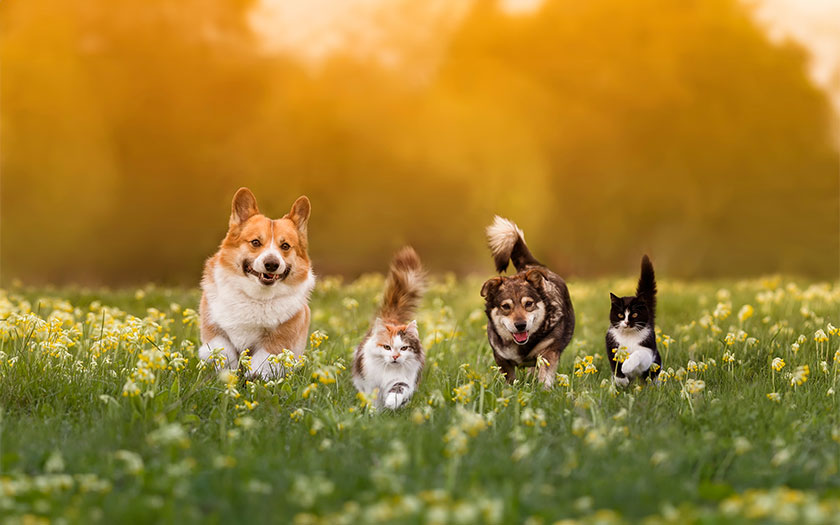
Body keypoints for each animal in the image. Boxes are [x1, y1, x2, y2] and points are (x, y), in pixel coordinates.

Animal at [199, 187, 316, 376]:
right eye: (255, 242)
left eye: (285, 246)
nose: (272, 264)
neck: (256, 297)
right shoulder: (213, 327)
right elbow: (224, 350)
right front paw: (227, 375)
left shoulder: (280, 338)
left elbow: (262, 361)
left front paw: (252, 378)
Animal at [352, 246, 426, 410]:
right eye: (387, 347)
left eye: (404, 348)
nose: (395, 357)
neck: (389, 370)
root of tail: (391, 318)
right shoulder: (370, 383)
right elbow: (373, 399)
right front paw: (373, 412)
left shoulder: (404, 380)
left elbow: (399, 389)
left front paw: (391, 403)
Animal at [480, 215, 576, 386]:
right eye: (506, 306)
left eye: (529, 304)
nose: (520, 325)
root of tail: (530, 265)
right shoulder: (501, 357)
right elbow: (509, 378)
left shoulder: (549, 351)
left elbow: (545, 375)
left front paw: (544, 389)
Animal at [604, 254, 664, 384]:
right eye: (620, 315)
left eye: (635, 315)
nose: (627, 322)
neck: (628, 336)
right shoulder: (612, 345)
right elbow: (614, 364)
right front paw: (621, 381)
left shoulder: (649, 351)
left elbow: (639, 354)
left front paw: (626, 366)